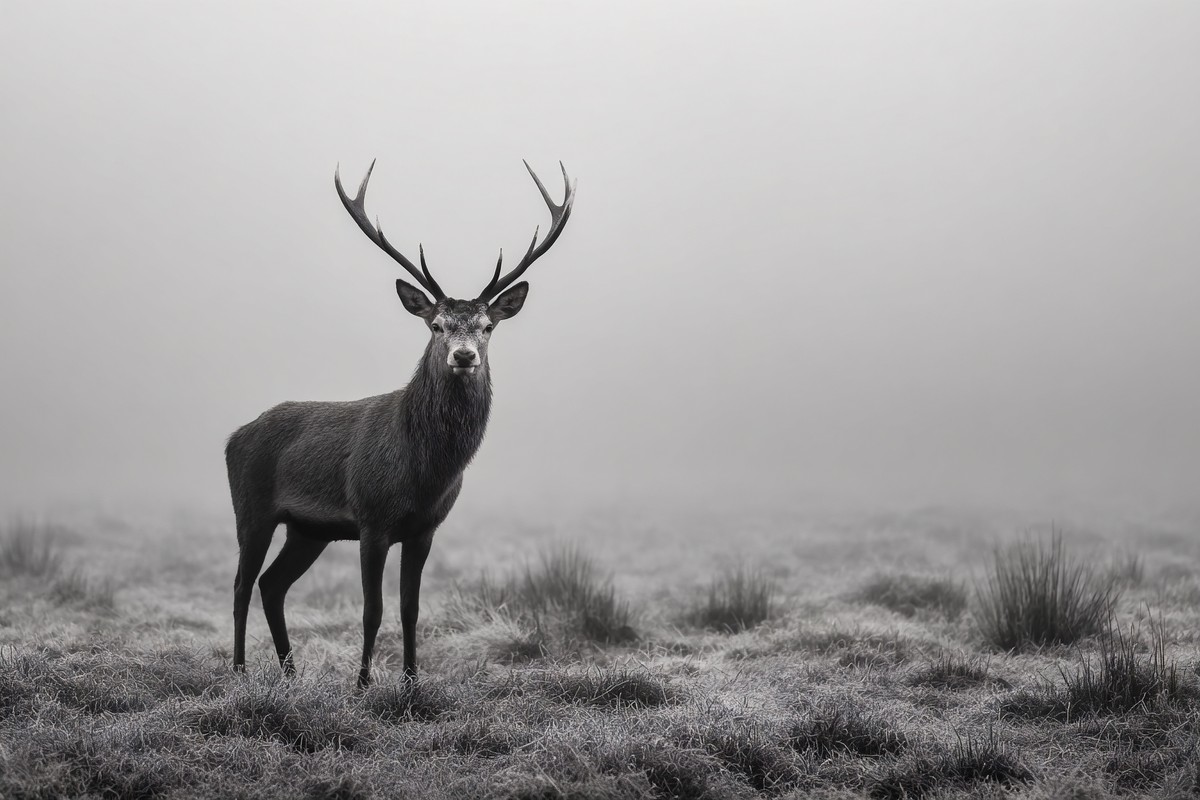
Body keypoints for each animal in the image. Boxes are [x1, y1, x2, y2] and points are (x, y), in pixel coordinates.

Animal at [225, 159, 576, 687]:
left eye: (487, 327)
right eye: (436, 325)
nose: (464, 355)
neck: (423, 471)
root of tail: (233, 436)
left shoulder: (425, 527)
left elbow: (411, 609)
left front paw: (411, 681)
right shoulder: (372, 518)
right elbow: (372, 609)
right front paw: (362, 684)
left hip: (307, 530)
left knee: (272, 584)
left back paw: (290, 673)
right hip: (251, 506)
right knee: (242, 584)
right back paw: (239, 670)